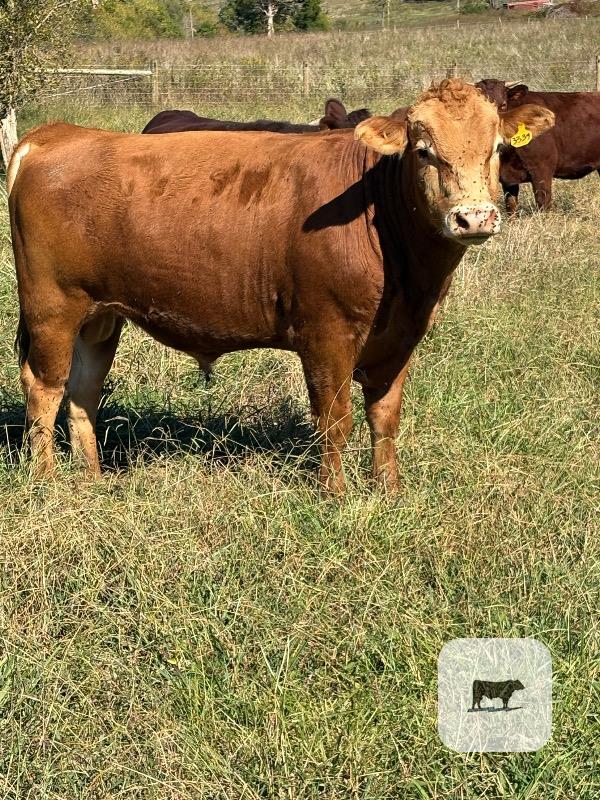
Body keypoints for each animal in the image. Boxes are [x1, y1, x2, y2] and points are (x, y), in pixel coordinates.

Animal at [8, 79, 554, 491]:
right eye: (423, 152)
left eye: (498, 148)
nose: (474, 217)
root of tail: (53, 136)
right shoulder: (327, 334)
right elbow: (336, 422)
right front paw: (336, 497)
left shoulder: (400, 337)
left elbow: (385, 418)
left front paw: (390, 492)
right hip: (52, 309)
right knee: (44, 389)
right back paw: (47, 483)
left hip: (99, 316)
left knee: (82, 392)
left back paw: (93, 480)